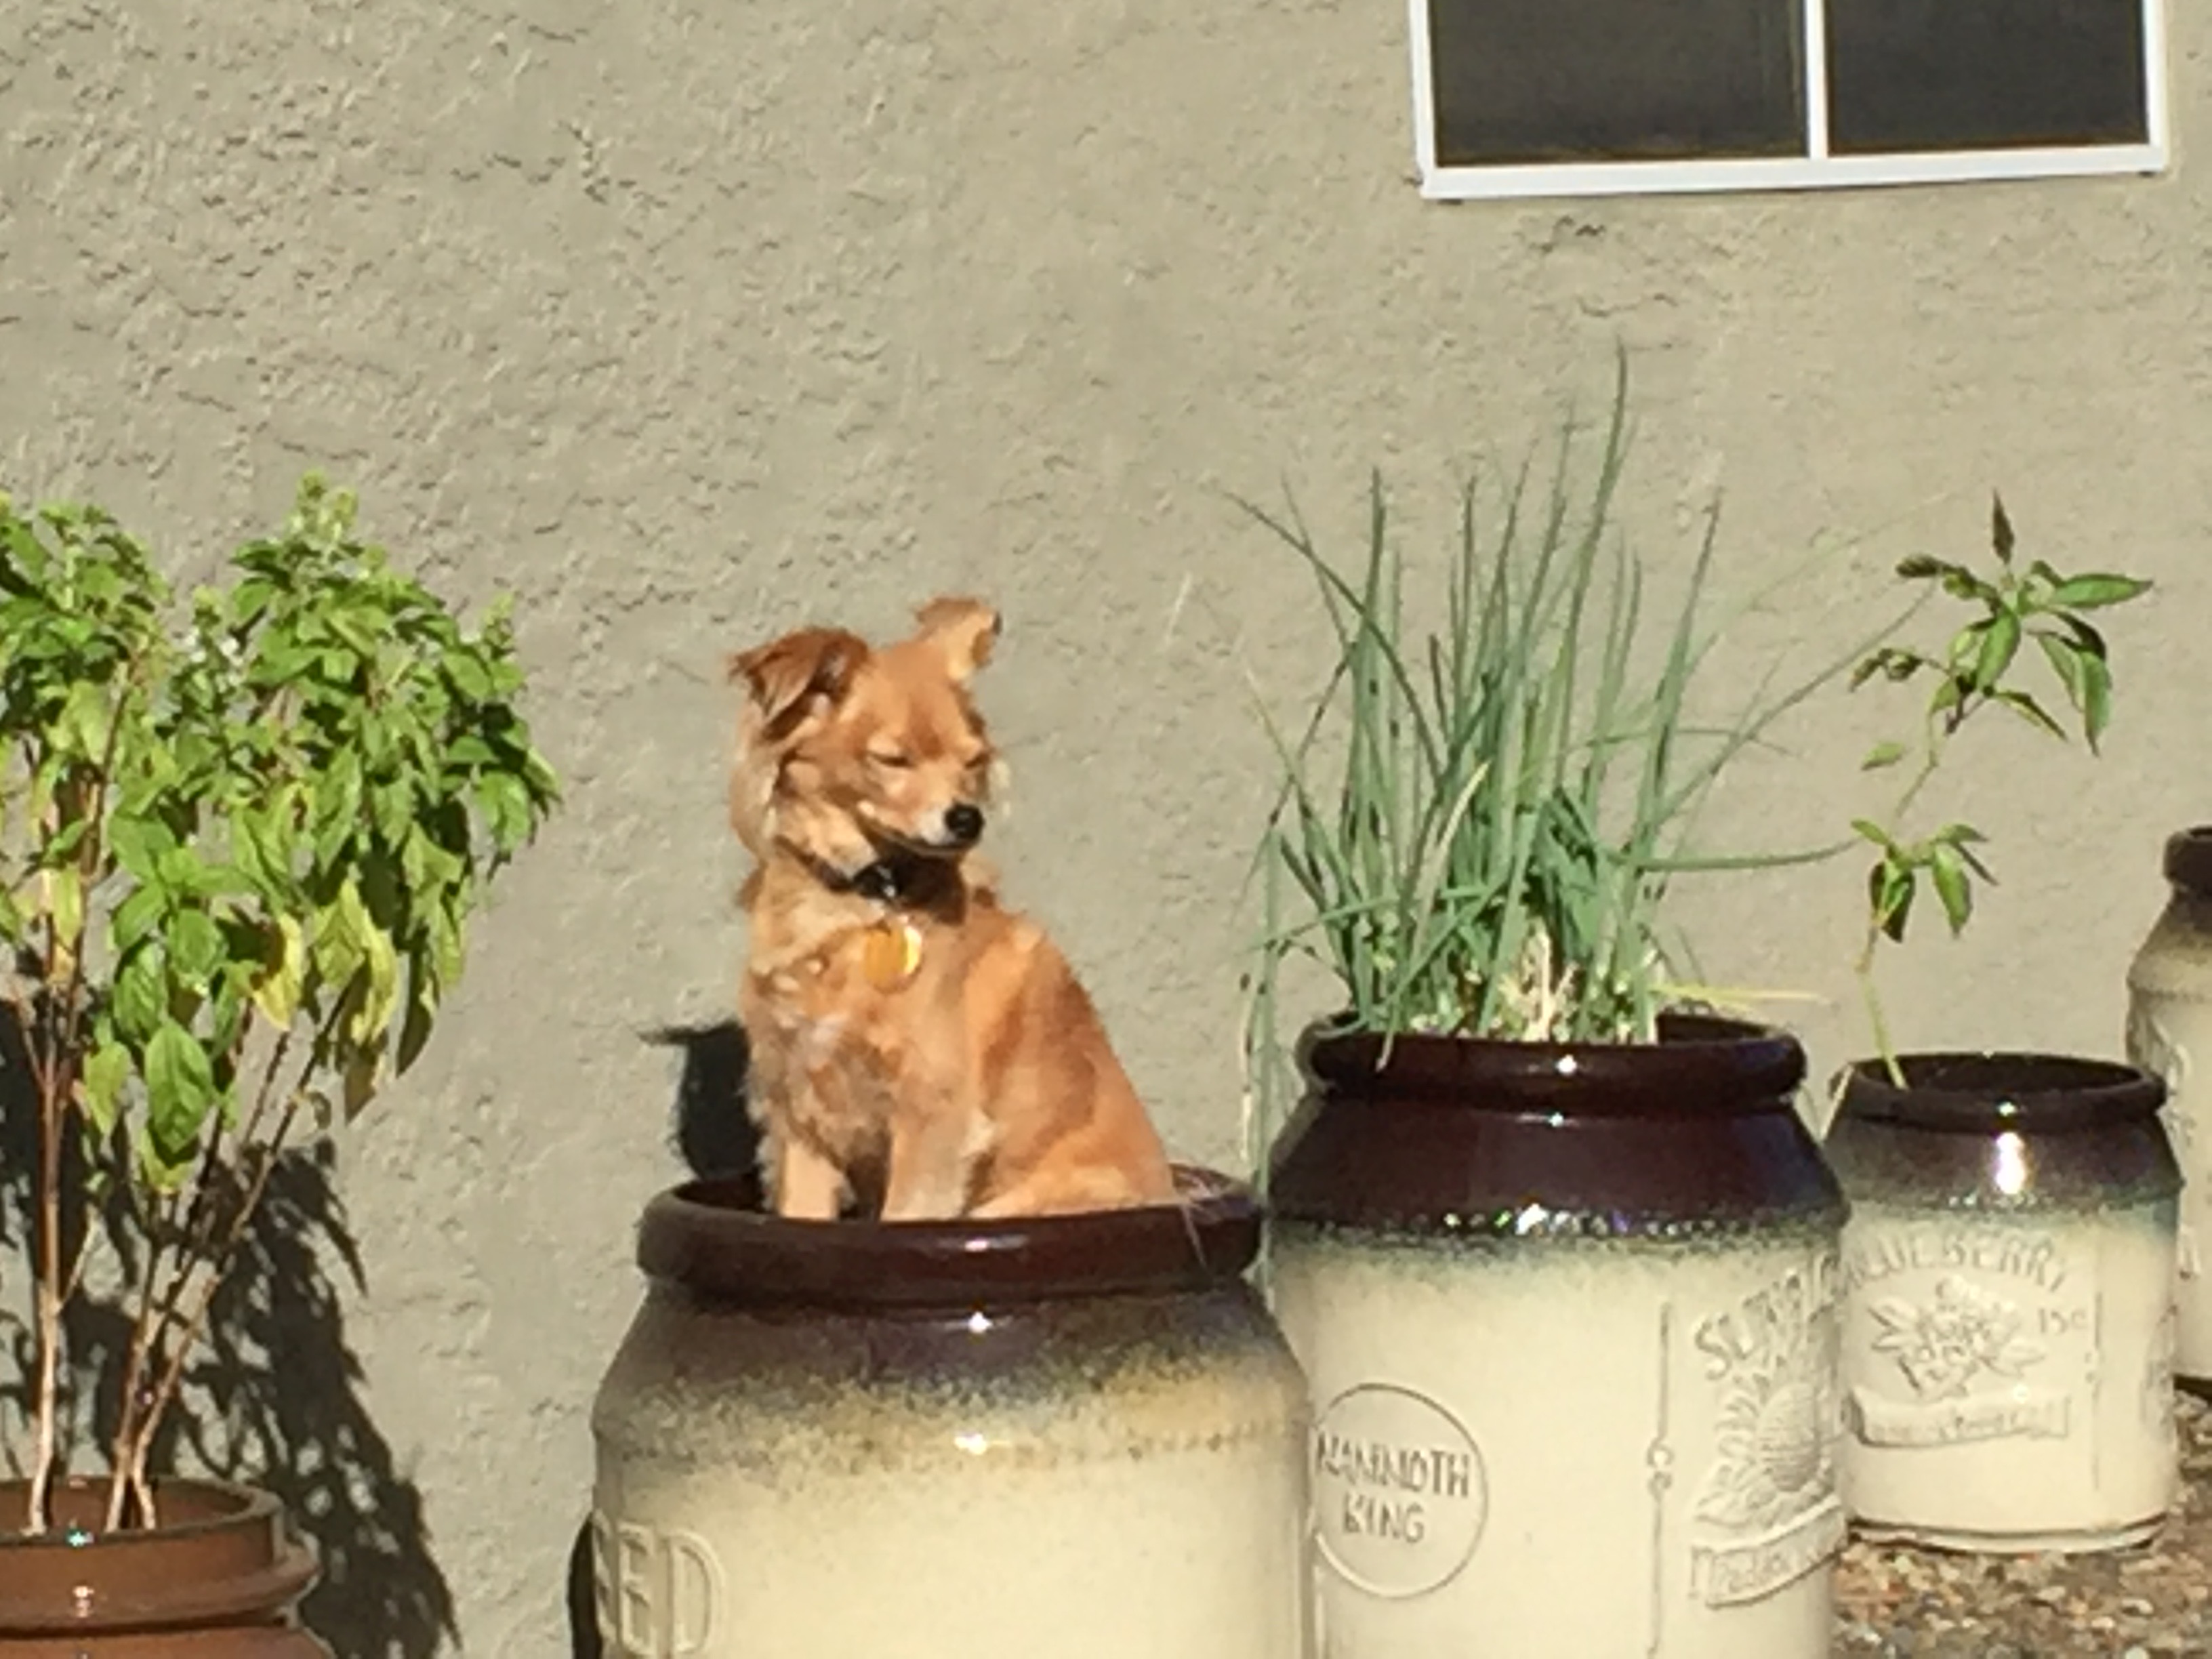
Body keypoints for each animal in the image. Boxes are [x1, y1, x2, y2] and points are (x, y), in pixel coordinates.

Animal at [725, 597, 1176, 1221]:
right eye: (892, 760)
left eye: (973, 761)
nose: (967, 818)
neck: (862, 902)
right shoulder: (801, 1113)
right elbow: (802, 1215)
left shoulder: (934, 1118)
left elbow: (904, 1218)